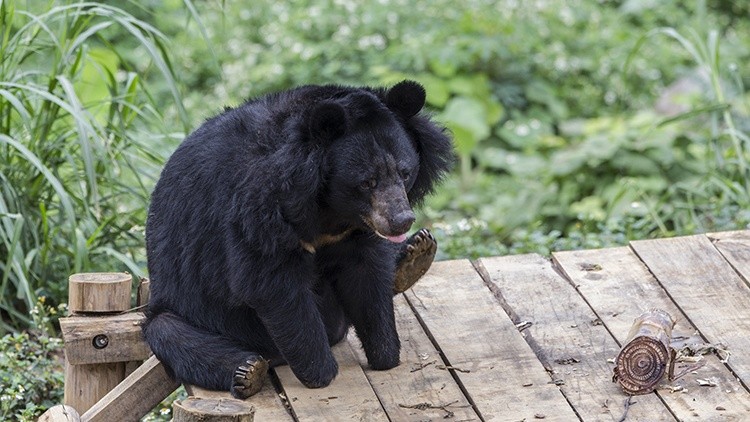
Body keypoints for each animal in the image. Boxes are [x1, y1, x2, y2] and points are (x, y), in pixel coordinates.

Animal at [145, 80, 456, 398]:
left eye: (405, 173)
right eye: (367, 182)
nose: (401, 220)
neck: (331, 209)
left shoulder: (355, 232)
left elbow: (366, 274)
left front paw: (385, 356)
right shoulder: (256, 206)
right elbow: (269, 281)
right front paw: (320, 373)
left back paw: (415, 257)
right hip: (189, 308)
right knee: (171, 333)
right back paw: (248, 371)